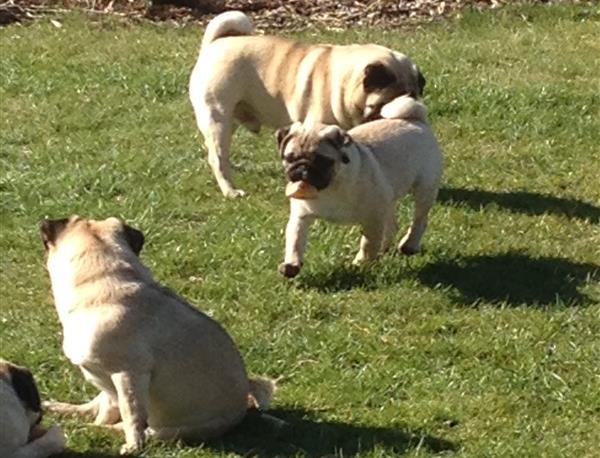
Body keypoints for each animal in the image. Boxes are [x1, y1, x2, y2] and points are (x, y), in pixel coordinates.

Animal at [40, 216, 275, 454]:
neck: (104, 280)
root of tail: (244, 402)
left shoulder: (128, 374)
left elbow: (131, 414)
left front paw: (133, 445)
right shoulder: (107, 379)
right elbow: (108, 408)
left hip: (171, 428)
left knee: (134, 427)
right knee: (95, 406)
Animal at [189, 10, 426, 198]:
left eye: (414, 94)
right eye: (381, 105)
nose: (404, 109)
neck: (342, 81)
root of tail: (215, 44)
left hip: (229, 119)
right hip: (218, 117)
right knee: (217, 157)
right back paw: (230, 190)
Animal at [276, 96, 443, 278]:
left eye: (321, 160)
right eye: (289, 158)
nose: (302, 168)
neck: (330, 188)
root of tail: (416, 120)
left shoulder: (372, 217)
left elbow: (368, 242)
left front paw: (361, 263)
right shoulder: (300, 217)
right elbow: (295, 241)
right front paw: (291, 264)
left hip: (424, 188)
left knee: (419, 219)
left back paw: (409, 244)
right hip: (387, 199)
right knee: (391, 225)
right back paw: (384, 249)